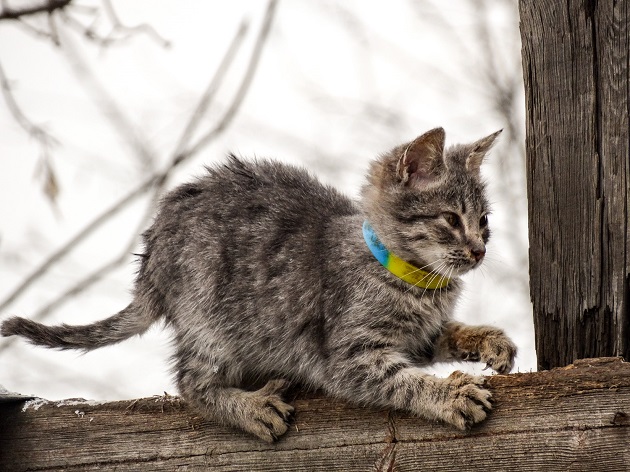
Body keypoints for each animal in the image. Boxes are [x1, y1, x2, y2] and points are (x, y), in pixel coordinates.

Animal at [1, 128, 520, 442]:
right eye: (451, 220)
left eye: (484, 221)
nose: (479, 250)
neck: (416, 280)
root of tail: (152, 259)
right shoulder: (348, 358)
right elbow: (402, 381)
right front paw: (449, 395)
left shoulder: (418, 336)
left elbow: (445, 335)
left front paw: (488, 339)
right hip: (208, 314)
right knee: (189, 382)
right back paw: (249, 408)